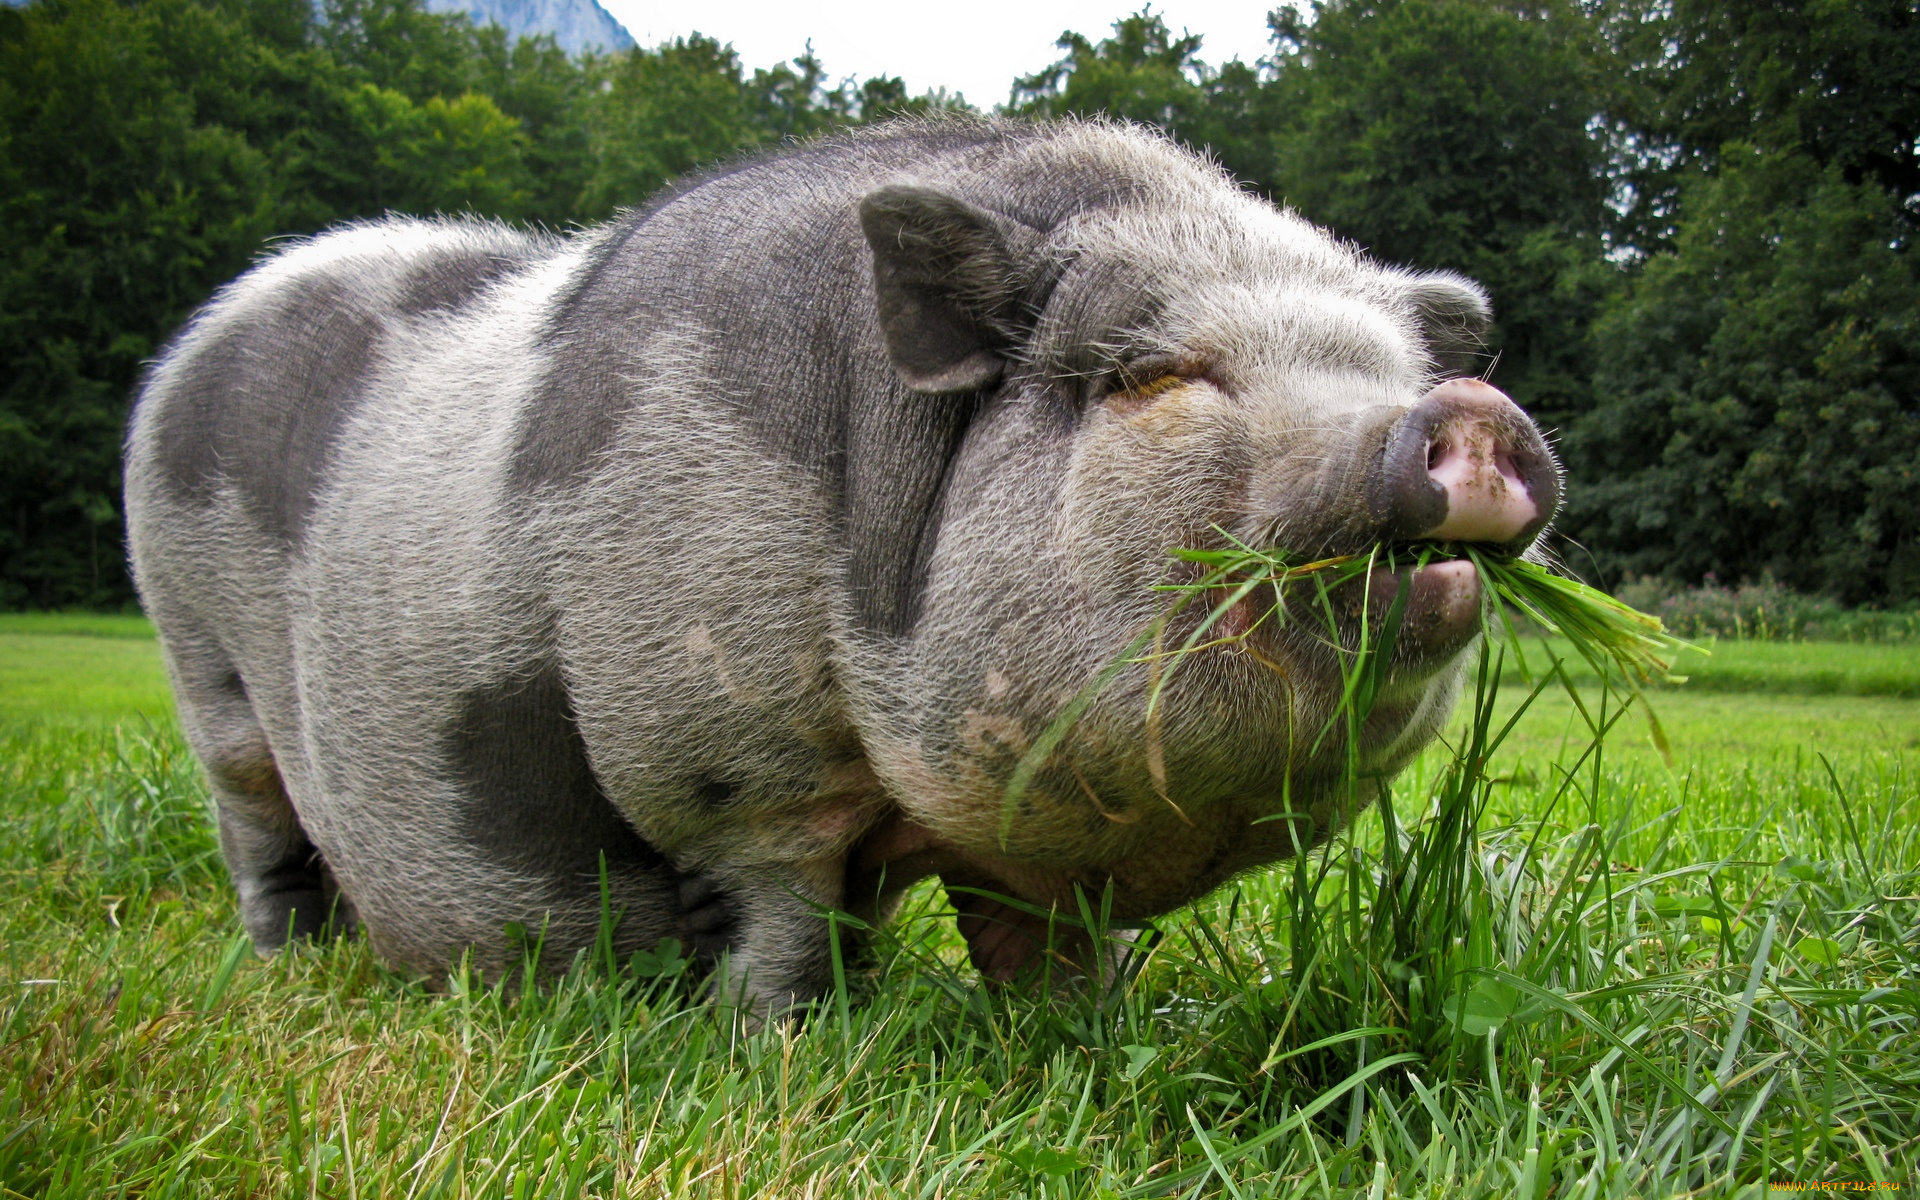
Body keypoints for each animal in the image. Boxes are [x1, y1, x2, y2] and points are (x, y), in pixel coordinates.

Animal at [123, 116, 1559, 1013]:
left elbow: (1051, 955)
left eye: (1395, 368)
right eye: (1156, 375)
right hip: (199, 660)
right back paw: (289, 972)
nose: (1468, 413)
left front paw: (1090, 1046)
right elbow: (782, 917)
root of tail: (196, 335)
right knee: (260, 830)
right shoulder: (727, 755)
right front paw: (792, 1051)